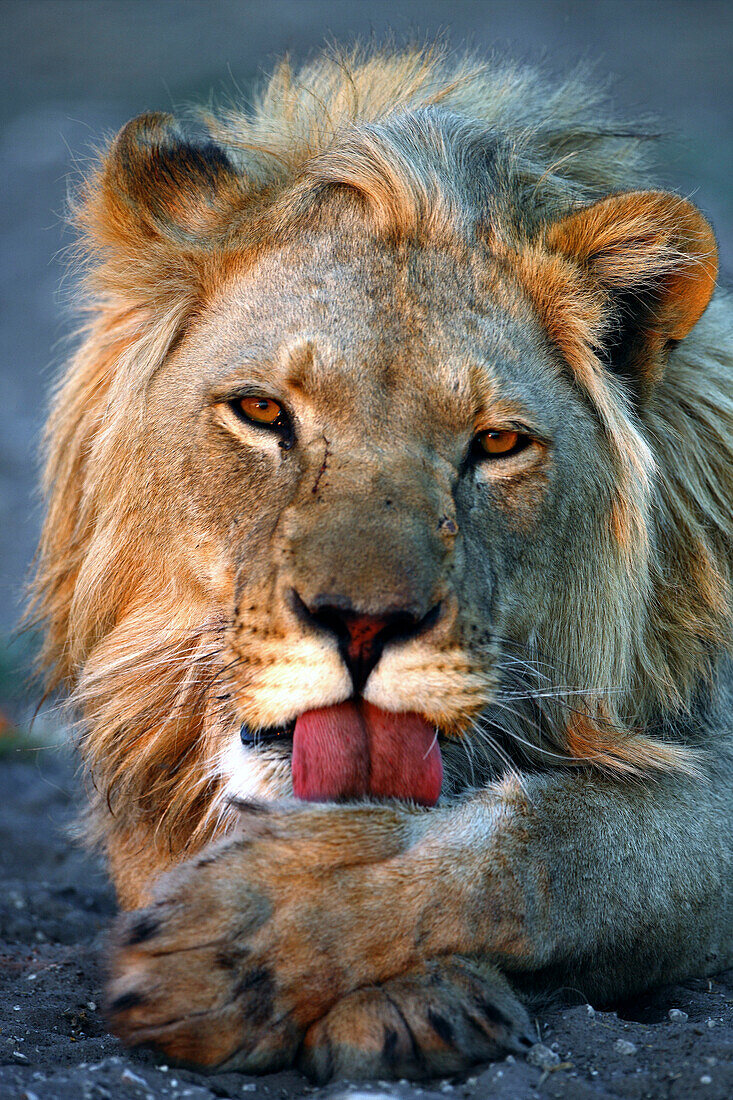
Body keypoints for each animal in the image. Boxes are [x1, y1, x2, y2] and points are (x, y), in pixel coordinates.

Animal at [29, 45, 730, 1082]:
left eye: (495, 443)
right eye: (263, 412)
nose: (362, 626)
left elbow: (557, 839)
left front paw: (255, 936)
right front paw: (390, 994)